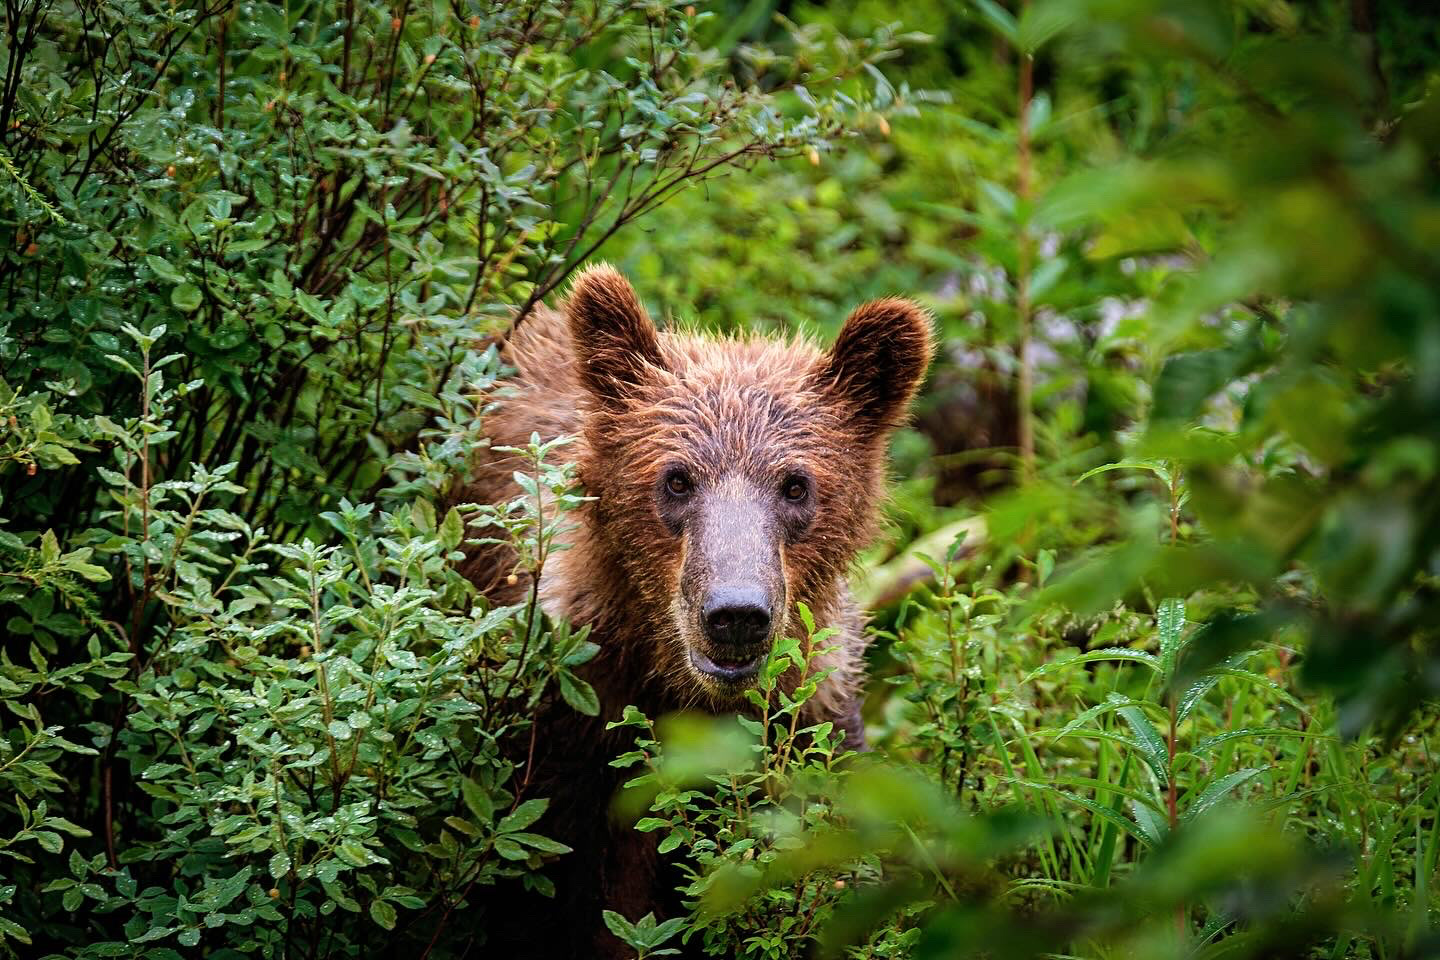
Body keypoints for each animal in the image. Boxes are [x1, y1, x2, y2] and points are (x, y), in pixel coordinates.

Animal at [457, 264, 931, 957]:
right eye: (677, 479)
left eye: (796, 485)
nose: (736, 614)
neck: (683, 692)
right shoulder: (571, 737)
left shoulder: (811, 720)